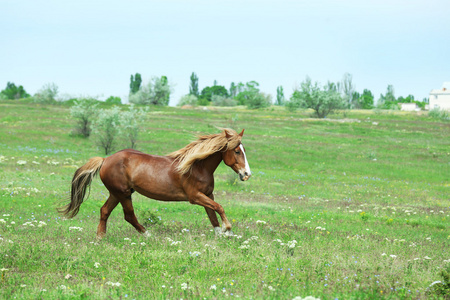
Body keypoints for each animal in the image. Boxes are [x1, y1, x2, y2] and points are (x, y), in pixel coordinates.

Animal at [58, 128, 251, 239]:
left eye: (244, 150)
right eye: (236, 151)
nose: (247, 174)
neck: (196, 167)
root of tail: (105, 160)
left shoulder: (207, 194)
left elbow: (212, 215)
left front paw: (223, 235)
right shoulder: (195, 196)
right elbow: (219, 208)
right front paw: (228, 229)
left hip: (116, 193)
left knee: (105, 211)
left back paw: (100, 239)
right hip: (123, 193)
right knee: (129, 216)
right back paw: (149, 235)